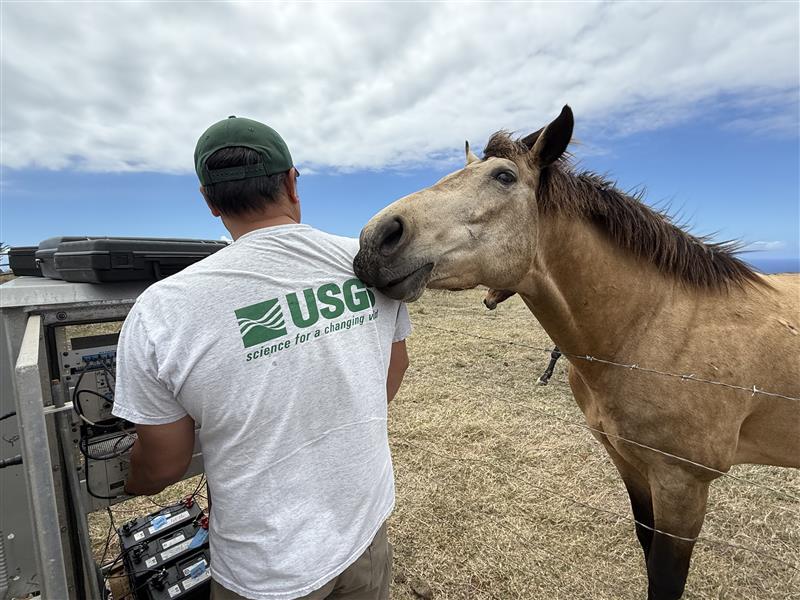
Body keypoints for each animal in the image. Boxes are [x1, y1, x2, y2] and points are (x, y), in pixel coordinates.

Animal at [352, 106, 800, 600]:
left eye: (504, 176)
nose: (376, 239)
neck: (649, 326)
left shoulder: (682, 486)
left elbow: (665, 577)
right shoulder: (628, 462)